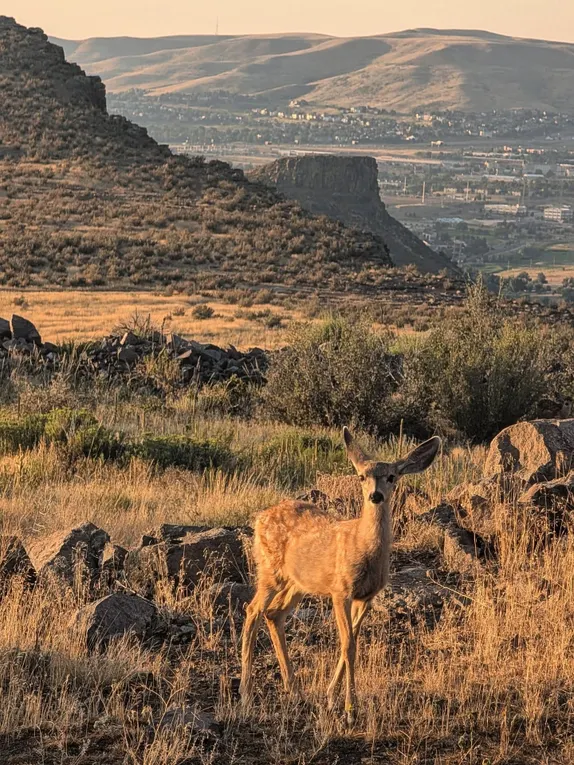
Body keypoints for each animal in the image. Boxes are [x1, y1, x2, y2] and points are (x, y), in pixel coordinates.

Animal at [240, 427, 441, 725]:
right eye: (361, 477)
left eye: (391, 477)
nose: (376, 496)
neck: (363, 547)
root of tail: (260, 518)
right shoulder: (340, 590)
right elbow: (348, 645)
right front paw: (349, 709)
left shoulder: (366, 597)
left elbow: (352, 642)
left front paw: (331, 697)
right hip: (269, 570)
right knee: (252, 610)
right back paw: (245, 692)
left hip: (298, 583)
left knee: (273, 614)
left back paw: (294, 689)